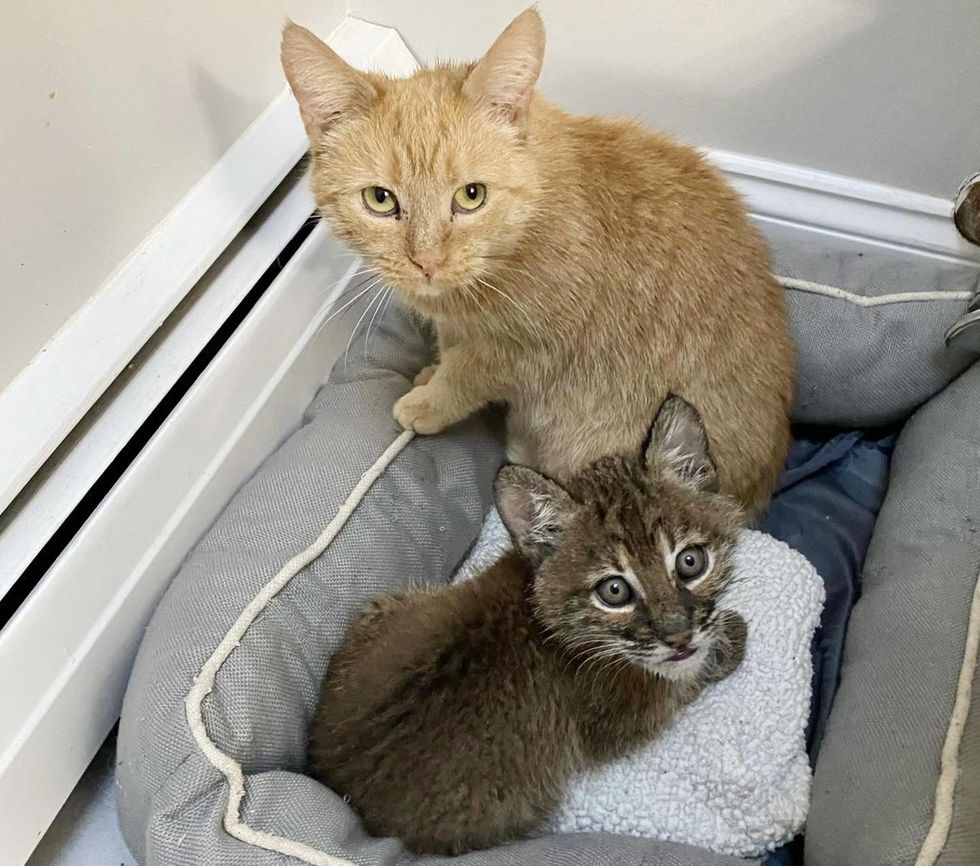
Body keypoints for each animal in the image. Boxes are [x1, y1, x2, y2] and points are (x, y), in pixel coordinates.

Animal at [280, 6, 792, 512]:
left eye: (471, 196)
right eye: (380, 199)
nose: (427, 261)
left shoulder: (527, 351)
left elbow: (467, 374)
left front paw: (429, 401)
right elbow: (451, 347)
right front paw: (431, 370)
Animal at [310, 396, 748, 852]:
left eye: (690, 561)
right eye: (614, 591)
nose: (678, 634)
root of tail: (341, 789)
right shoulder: (631, 716)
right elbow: (684, 678)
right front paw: (729, 636)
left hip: (381, 605)